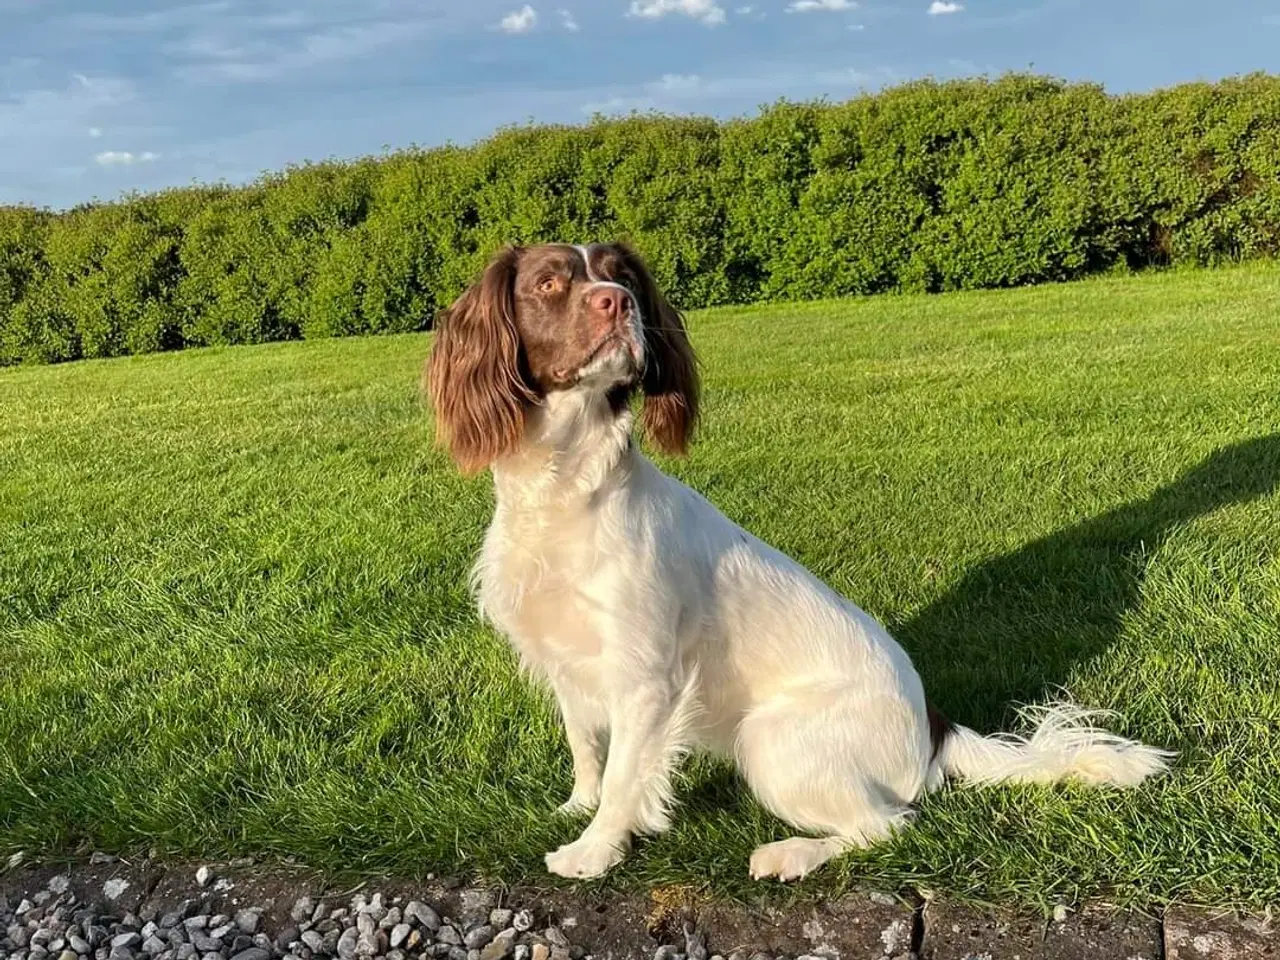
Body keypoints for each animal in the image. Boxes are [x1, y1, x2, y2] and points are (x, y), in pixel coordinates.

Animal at [424, 244, 1172, 885]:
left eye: (624, 277)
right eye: (550, 282)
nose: (618, 302)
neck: (567, 490)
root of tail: (935, 727)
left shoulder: (644, 678)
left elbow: (624, 776)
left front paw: (594, 851)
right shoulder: (567, 661)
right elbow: (587, 747)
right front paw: (575, 808)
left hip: (770, 740)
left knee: (892, 823)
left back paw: (790, 854)